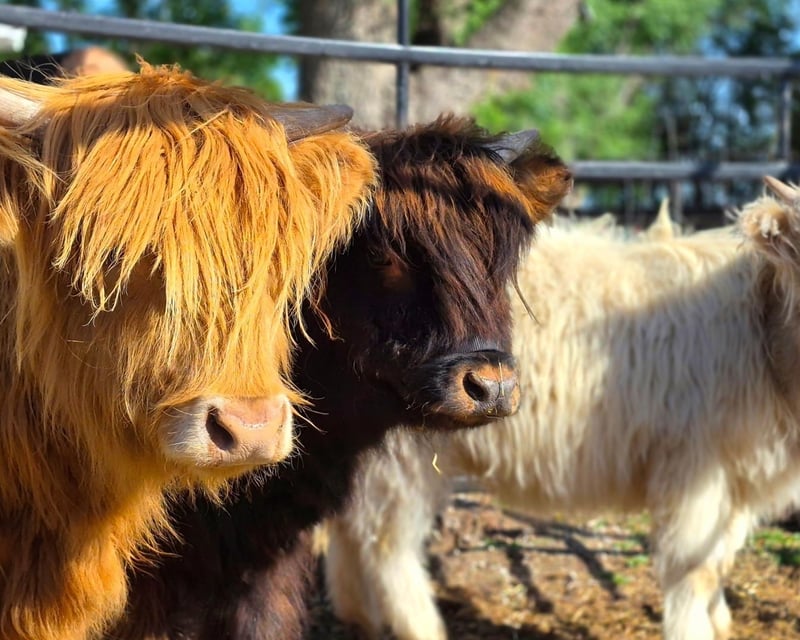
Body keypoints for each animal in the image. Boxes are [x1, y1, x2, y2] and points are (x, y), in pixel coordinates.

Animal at [322, 179, 800, 640]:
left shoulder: (736, 481)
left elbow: (719, 562)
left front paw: (722, 623)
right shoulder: (693, 469)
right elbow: (693, 570)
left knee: (349, 529)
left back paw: (358, 616)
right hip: (402, 461)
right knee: (388, 547)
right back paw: (421, 629)